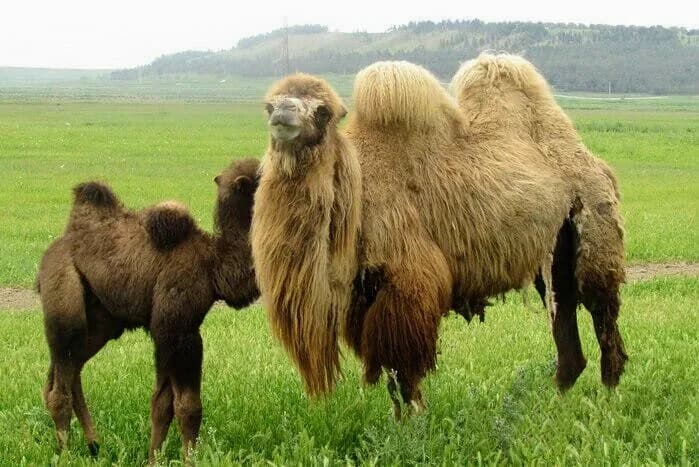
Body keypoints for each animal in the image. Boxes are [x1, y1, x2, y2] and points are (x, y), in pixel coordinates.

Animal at [37, 158, 259, 459]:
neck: (213, 264)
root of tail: (52, 252)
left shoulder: (168, 331)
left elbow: (162, 404)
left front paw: (154, 458)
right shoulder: (178, 327)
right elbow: (188, 405)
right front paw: (189, 459)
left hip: (101, 319)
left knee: (70, 370)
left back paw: (94, 445)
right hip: (65, 300)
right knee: (61, 380)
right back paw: (66, 454)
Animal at [252, 55, 626, 417]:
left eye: (323, 112)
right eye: (269, 106)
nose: (284, 115)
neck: (358, 192)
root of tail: (594, 163)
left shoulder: (408, 282)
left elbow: (403, 371)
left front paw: (416, 423)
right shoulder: (364, 297)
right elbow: (390, 374)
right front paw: (401, 421)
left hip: (595, 233)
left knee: (603, 314)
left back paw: (607, 402)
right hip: (553, 257)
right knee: (568, 329)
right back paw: (555, 405)